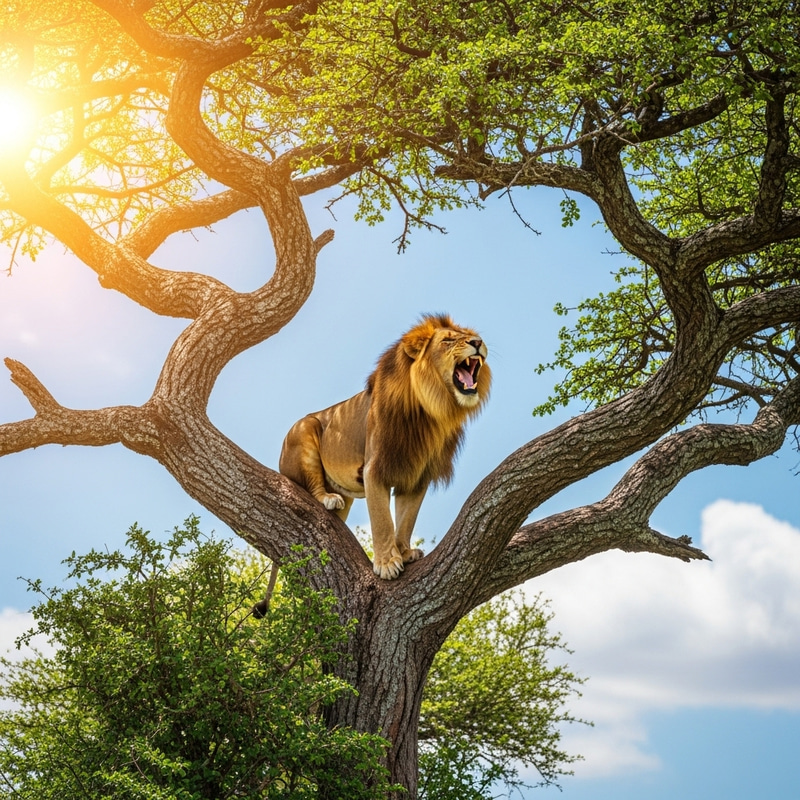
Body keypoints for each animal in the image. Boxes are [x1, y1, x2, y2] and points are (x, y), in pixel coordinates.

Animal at [279, 313, 491, 579]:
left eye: (470, 336)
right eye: (448, 340)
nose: (478, 342)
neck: (430, 411)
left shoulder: (417, 475)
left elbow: (406, 519)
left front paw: (404, 552)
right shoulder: (375, 467)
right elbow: (382, 520)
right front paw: (387, 563)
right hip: (305, 428)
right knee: (314, 487)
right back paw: (328, 498)